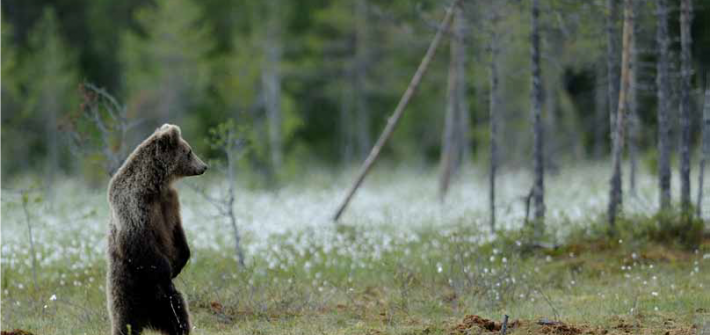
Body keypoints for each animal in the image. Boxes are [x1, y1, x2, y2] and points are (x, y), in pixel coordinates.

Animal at [105, 125, 209, 335]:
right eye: (189, 151)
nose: (203, 167)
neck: (154, 184)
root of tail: (148, 319)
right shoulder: (135, 207)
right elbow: (139, 244)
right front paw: (168, 271)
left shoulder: (169, 203)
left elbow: (177, 232)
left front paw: (180, 262)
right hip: (126, 288)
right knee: (124, 320)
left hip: (165, 303)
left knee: (178, 313)